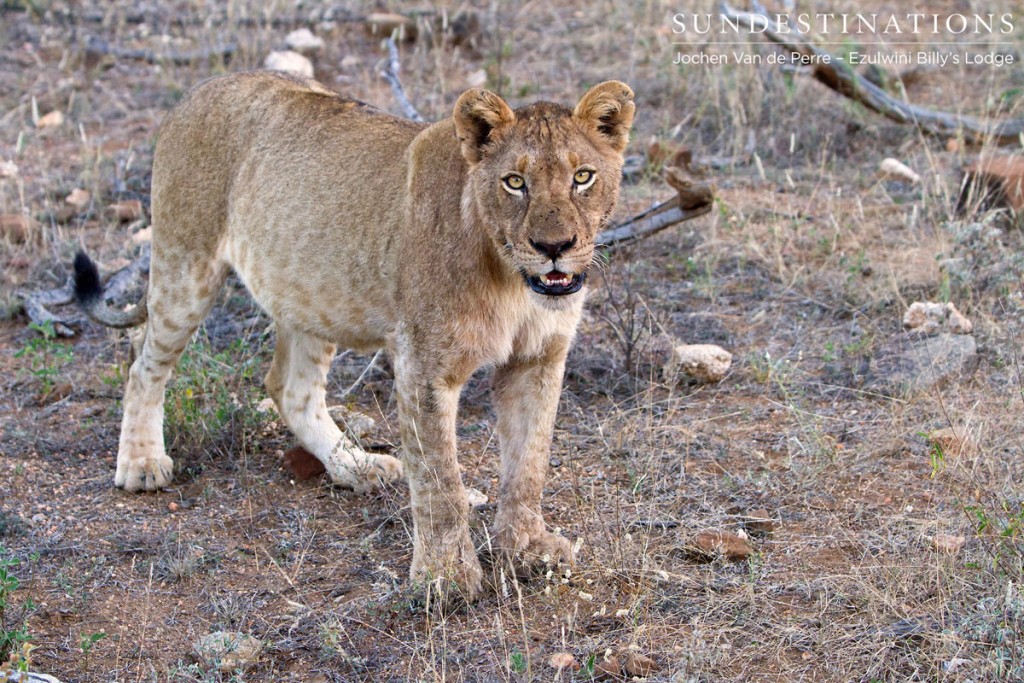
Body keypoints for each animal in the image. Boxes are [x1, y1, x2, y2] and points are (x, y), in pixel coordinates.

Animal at [74, 70, 630, 602]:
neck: (514, 282)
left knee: (288, 387)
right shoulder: (423, 367)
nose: (555, 247)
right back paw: (142, 462)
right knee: (142, 361)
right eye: (515, 182)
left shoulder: (537, 360)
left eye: (582, 177)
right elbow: (440, 482)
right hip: (184, 266)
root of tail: (196, 91)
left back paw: (355, 466)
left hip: (310, 293)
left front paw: (528, 549)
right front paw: (445, 579)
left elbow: (529, 462)